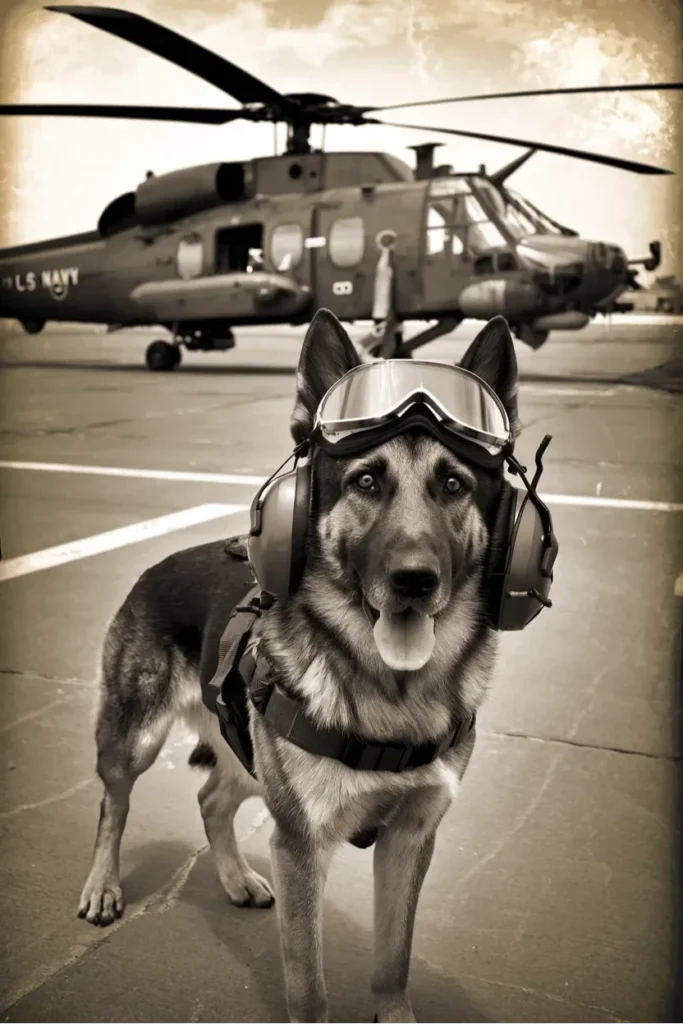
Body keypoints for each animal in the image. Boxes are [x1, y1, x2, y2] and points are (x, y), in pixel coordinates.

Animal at [78, 311, 518, 1024]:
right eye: (365, 482)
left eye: (453, 485)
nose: (414, 580)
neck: (391, 693)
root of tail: (154, 566)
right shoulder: (300, 847)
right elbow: (307, 985)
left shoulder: (409, 841)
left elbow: (393, 961)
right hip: (134, 740)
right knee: (113, 806)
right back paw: (102, 886)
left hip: (248, 761)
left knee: (210, 799)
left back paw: (233, 878)